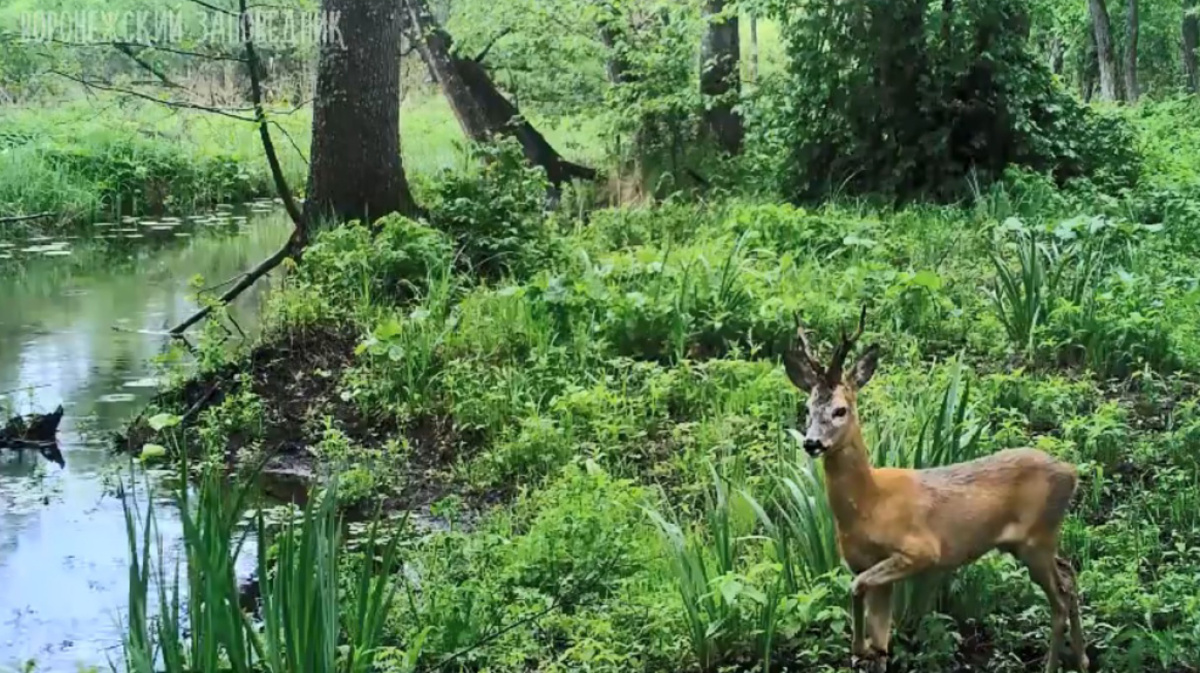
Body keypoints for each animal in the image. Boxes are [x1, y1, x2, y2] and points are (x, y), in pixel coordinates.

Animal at [787, 307, 1089, 667]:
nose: (811, 443)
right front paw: (867, 649)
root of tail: (1071, 472)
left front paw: (858, 647)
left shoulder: (921, 550)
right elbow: (880, 639)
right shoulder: (864, 565)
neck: (869, 504)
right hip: (1032, 543)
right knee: (1070, 574)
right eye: (807, 409)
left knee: (1059, 599)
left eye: (840, 410)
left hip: (1036, 540)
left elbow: (857, 589)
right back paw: (1083, 661)